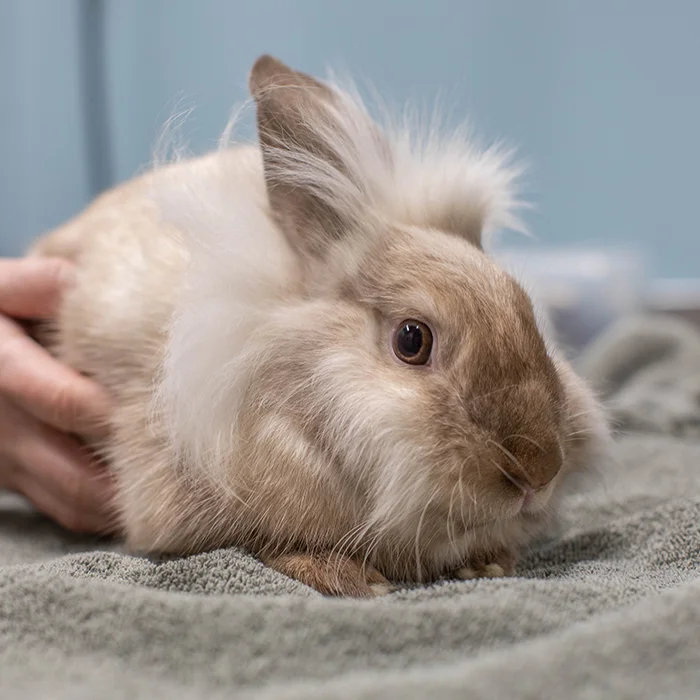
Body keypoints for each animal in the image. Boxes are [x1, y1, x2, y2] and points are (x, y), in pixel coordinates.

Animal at [28, 57, 608, 600]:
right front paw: (350, 578)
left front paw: (488, 564)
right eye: (411, 339)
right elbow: (263, 544)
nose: (539, 469)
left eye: (526, 311)